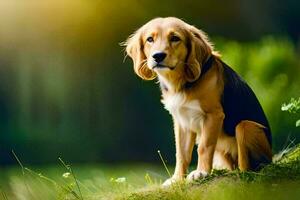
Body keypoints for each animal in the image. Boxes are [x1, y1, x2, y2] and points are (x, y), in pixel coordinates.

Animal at [123, 16, 272, 186]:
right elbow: (182, 153)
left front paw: (201, 172)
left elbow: (204, 147)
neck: (180, 83)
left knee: (249, 164)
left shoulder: (213, 115)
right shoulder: (182, 121)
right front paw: (177, 179)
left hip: (246, 127)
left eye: (175, 38)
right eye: (149, 39)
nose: (158, 56)